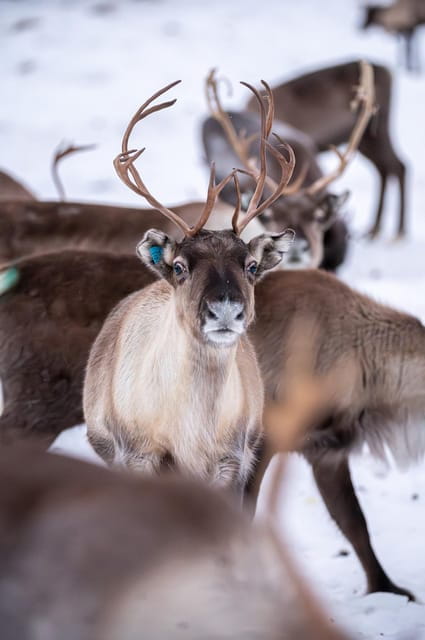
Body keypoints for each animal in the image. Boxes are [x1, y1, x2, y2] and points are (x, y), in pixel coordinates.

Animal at [83, 79, 295, 493]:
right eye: (180, 266)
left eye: (251, 265)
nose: (225, 310)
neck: (194, 432)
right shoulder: (139, 455)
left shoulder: (231, 461)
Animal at [247, 60, 407, 239]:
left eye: (317, 218)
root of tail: (388, 71)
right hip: (366, 140)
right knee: (386, 168)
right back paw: (375, 229)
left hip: (377, 131)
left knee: (397, 165)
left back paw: (398, 231)